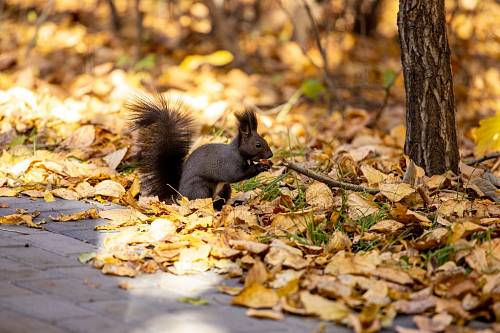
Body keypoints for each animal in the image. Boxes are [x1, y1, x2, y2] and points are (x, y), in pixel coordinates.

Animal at [127, 94, 272, 208]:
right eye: (258, 145)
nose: (271, 155)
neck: (238, 152)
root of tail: (179, 196)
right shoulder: (229, 164)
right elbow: (237, 175)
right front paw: (261, 167)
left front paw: (267, 164)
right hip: (200, 189)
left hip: (225, 189)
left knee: (220, 201)